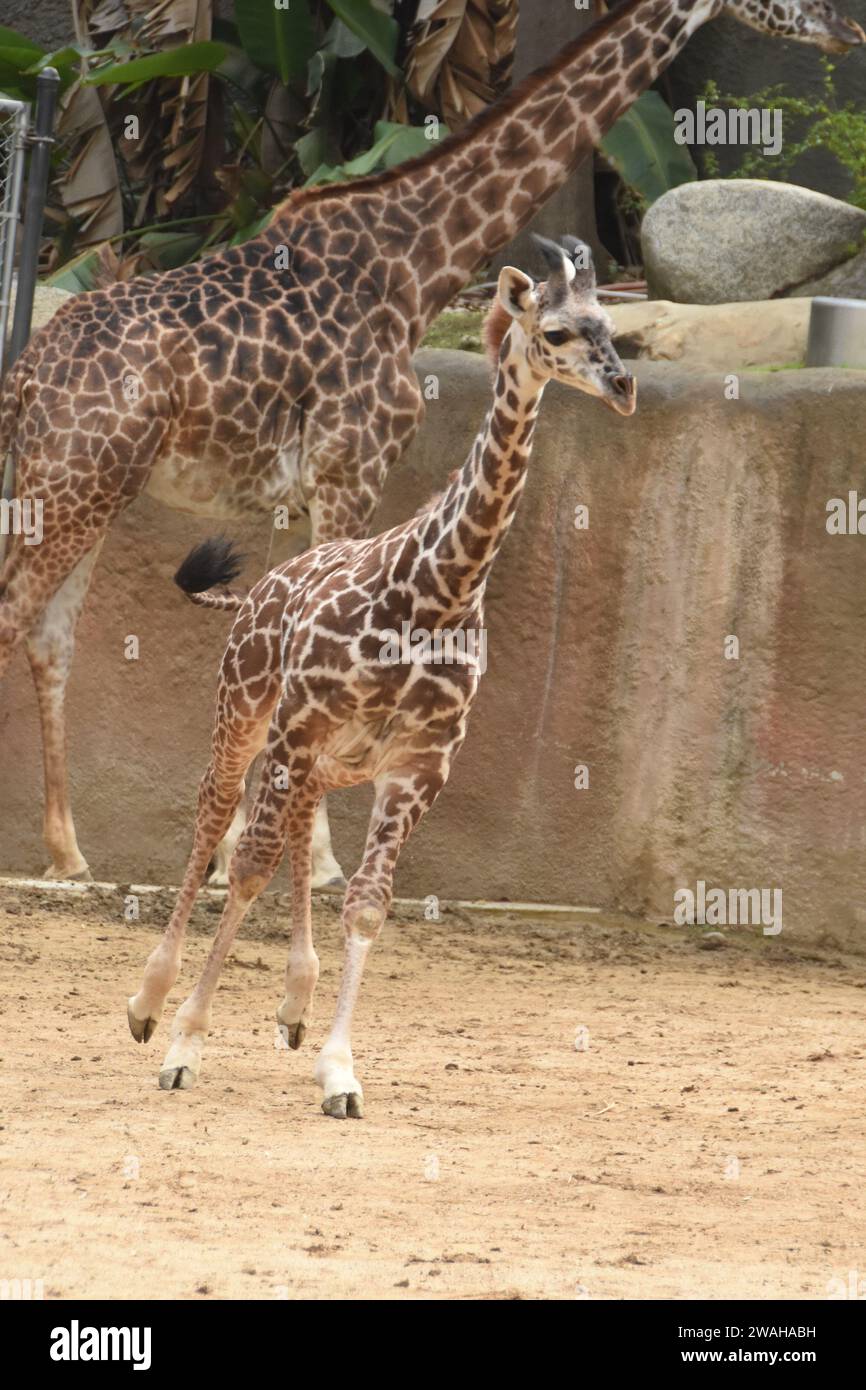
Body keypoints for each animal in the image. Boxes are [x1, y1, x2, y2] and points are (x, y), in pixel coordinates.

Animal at [0, 0, 861, 891]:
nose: (847, 32)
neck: (418, 267)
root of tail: (24, 378)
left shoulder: (296, 495)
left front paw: (240, 850)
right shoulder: (352, 466)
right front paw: (316, 862)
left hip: (89, 486)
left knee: (50, 636)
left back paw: (69, 853)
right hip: (73, 481)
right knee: (15, 615)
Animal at [127, 234, 637, 1115]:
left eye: (612, 327)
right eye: (559, 331)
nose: (623, 386)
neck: (438, 591)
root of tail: (255, 592)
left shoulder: (418, 764)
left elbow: (367, 904)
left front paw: (338, 1070)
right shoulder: (302, 731)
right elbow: (248, 869)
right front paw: (185, 1043)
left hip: (322, 759)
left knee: (292, 834)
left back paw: (294, 1005)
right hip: (248, 720)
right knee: (214, 825)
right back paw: (149, 1003)